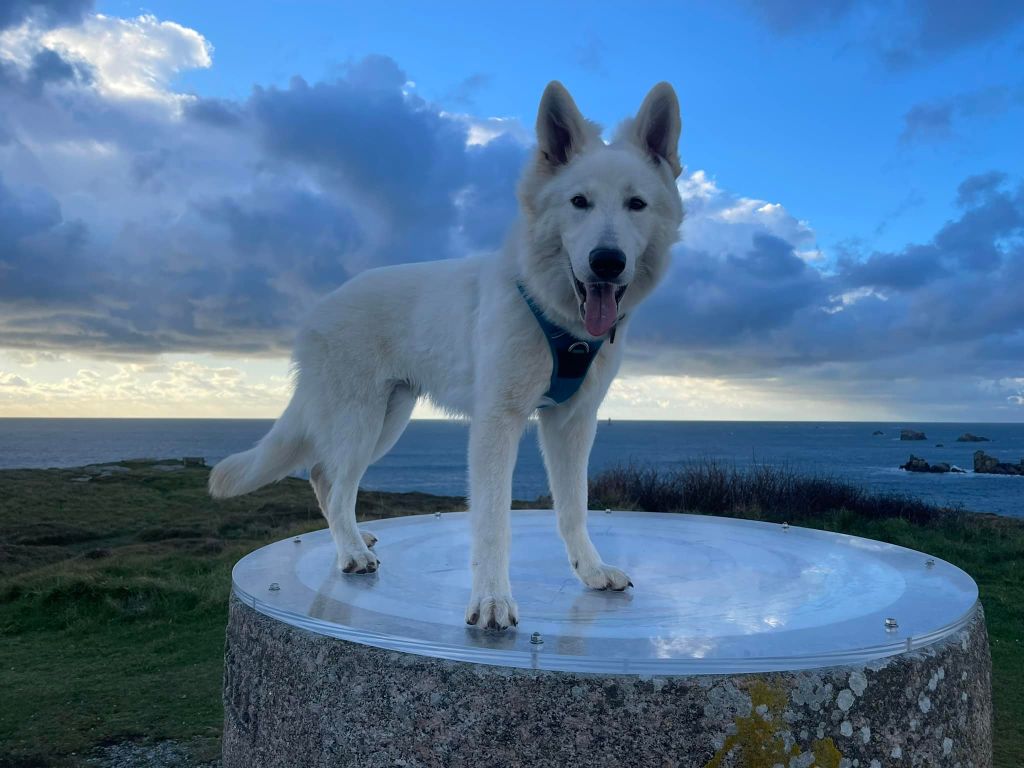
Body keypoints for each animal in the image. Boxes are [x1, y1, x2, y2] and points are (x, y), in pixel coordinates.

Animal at [208, 82, 684, 630]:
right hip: (360, 419)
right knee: (333, 480)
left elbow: (574, 508)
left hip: (389, 418)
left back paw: (353, 539)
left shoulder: (572, 423)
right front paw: (492, 599)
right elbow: (493, 522)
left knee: (327, 481)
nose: (607, 262)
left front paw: (591, 570)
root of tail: (319, 309)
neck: (553, 312)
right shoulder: (497, 424)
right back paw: (351, 552)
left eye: (636, 204)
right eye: (579, 202)